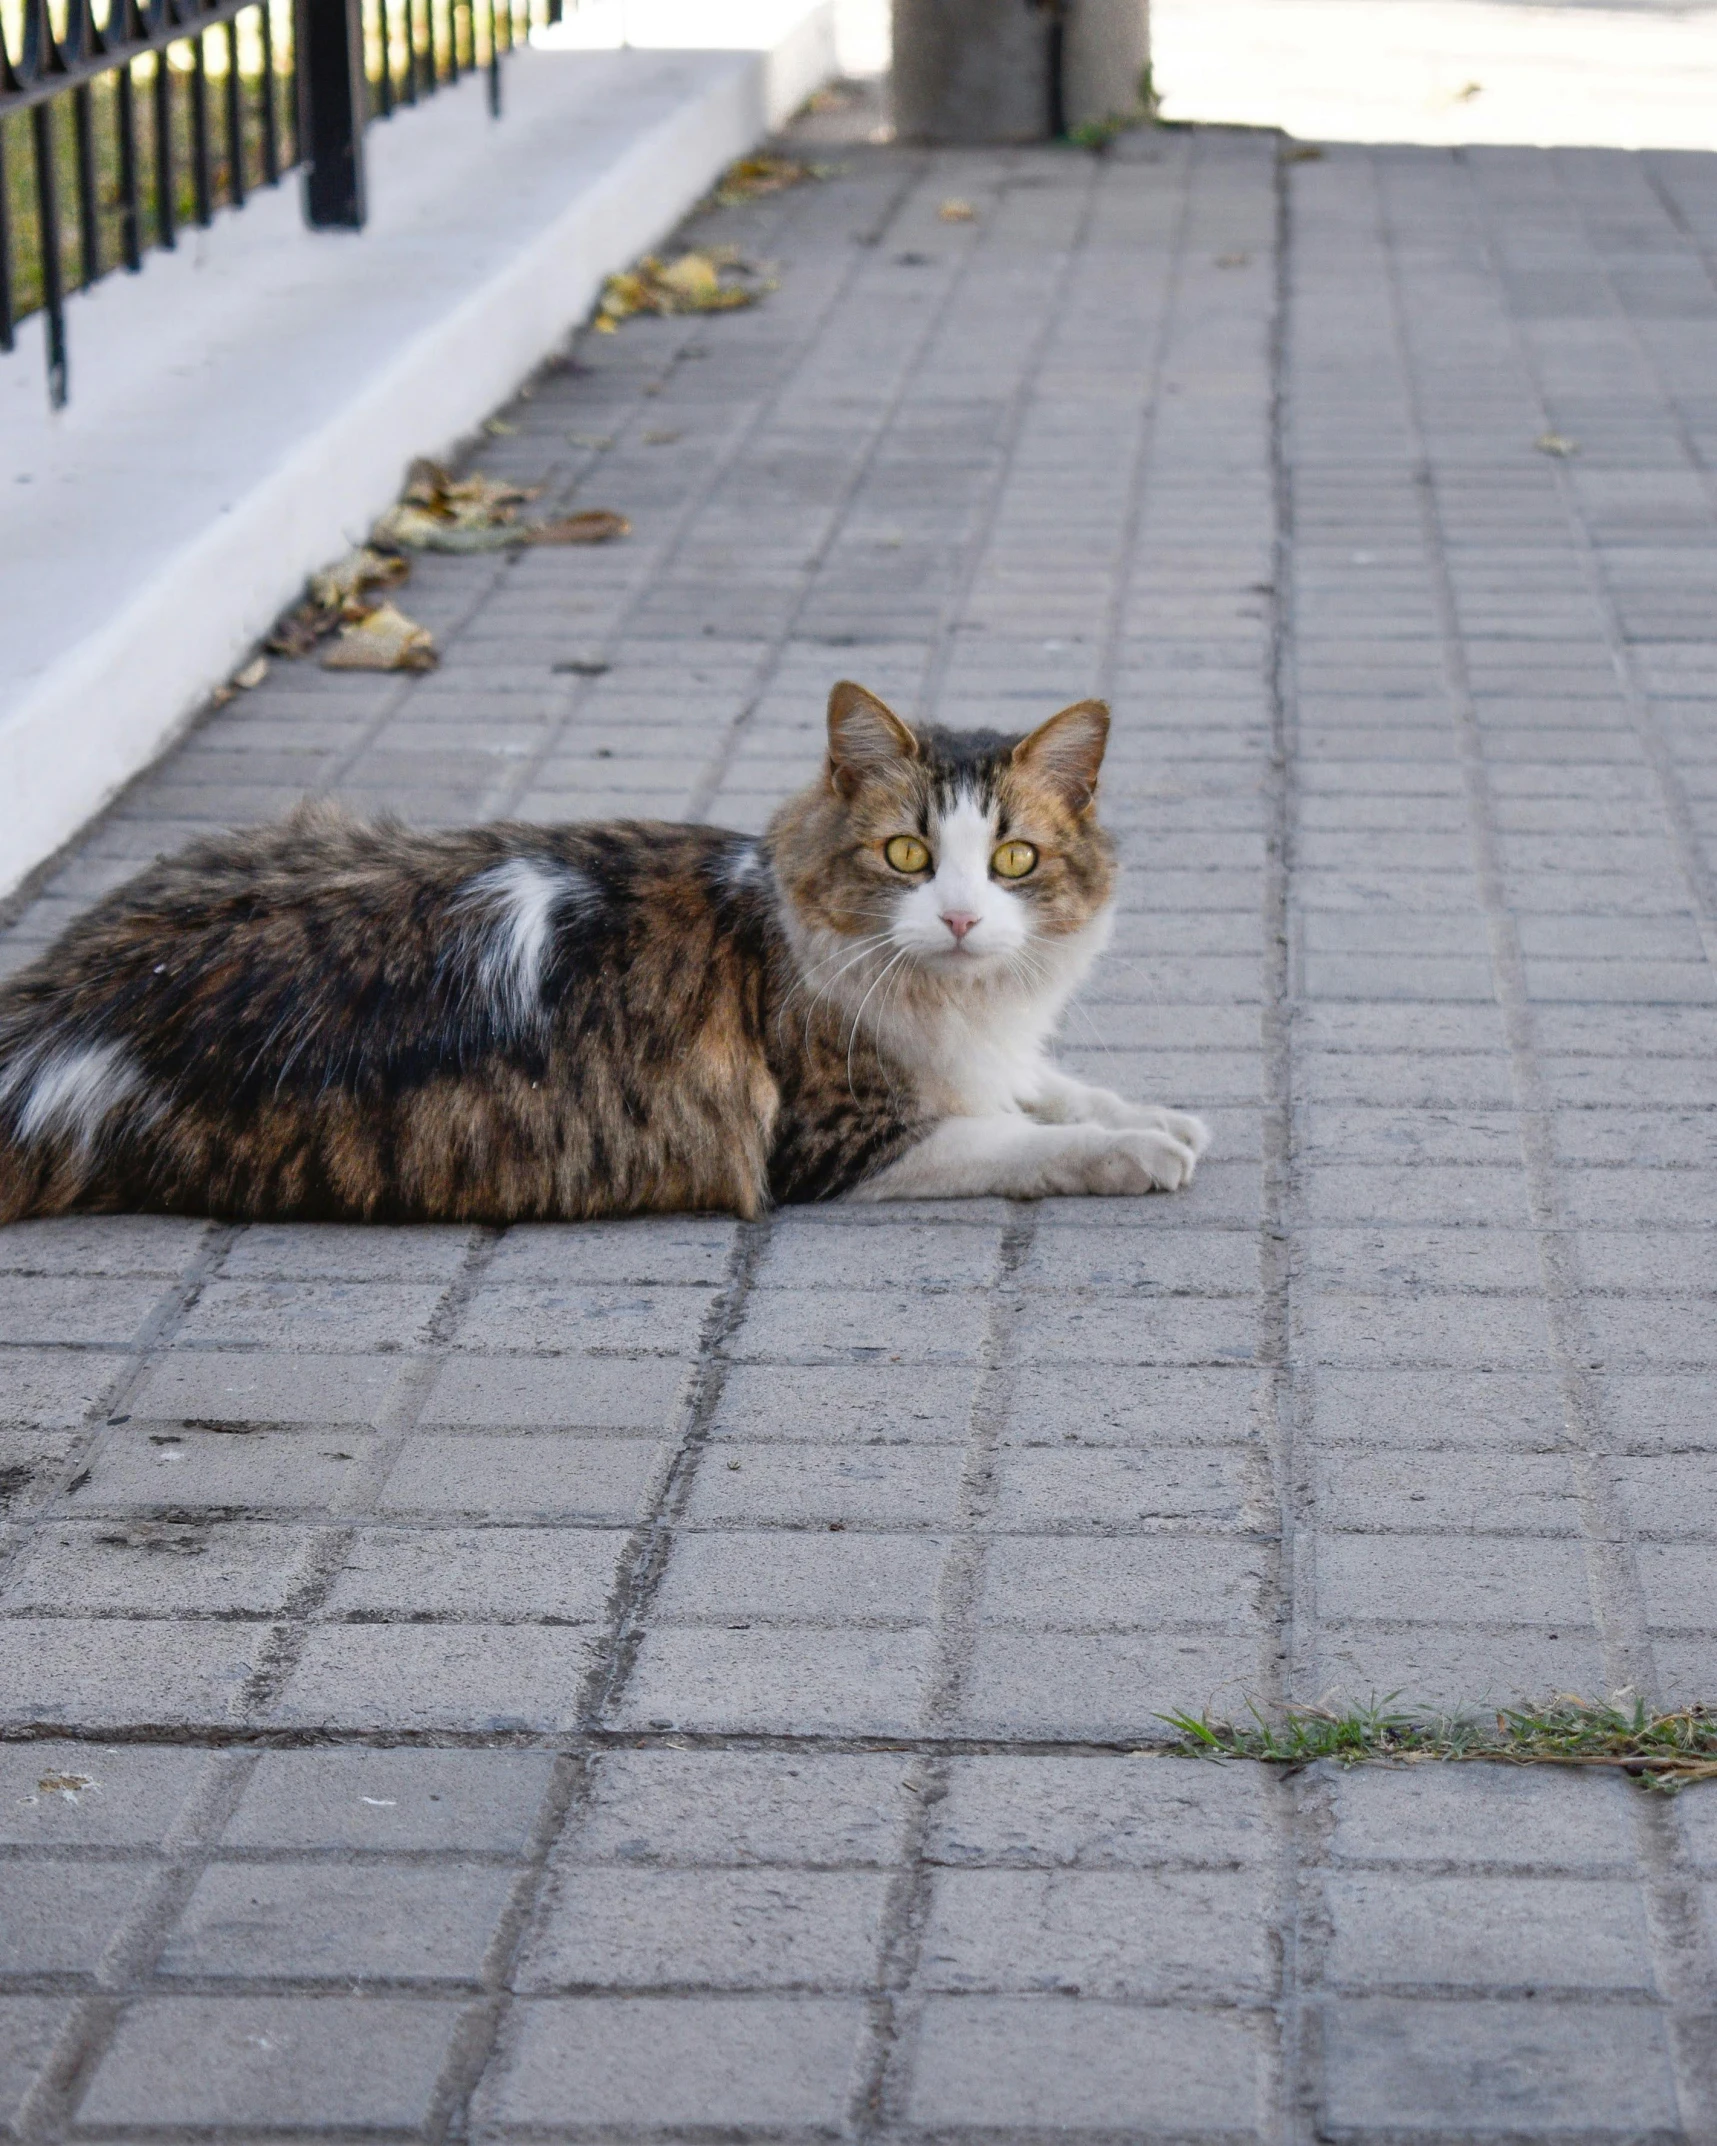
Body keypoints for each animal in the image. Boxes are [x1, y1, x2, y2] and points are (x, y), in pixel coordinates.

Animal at [0, 686, 1210, 1227]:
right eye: (907, 855)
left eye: (1011, 859)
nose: (958, 920)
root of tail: (65, 999)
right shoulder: (840, 1140)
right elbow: (1015, 1137)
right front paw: (1132, 1149)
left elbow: (1051, 1086)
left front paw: (1153, 1113)